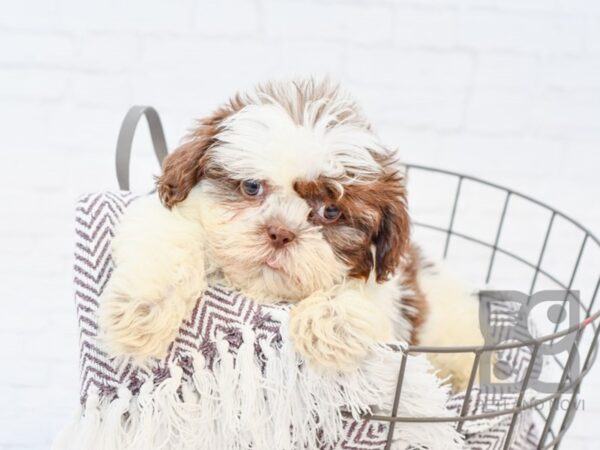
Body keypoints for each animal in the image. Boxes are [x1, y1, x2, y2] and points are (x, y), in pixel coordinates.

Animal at [99, 79, 482, 388]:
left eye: (331, 211)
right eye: (251, 186)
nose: (280, 233)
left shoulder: (390, 290)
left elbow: (365, 294)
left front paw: (329, 322)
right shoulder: (161, 216)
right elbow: (168, 243)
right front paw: (144, 310)